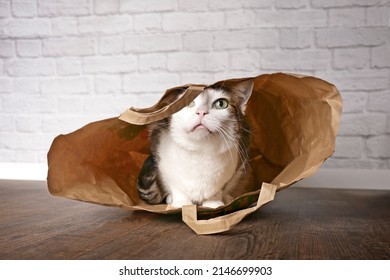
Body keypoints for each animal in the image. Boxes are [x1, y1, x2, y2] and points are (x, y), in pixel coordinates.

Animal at [137, 79, 253, 208]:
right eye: (188, 103)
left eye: (221, 104)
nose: (201, 112)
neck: (201, 150)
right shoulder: (164, 162)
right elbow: (176, 186)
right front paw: (182, 203)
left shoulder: (232, 169)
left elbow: (217, 189)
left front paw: (214, 203)